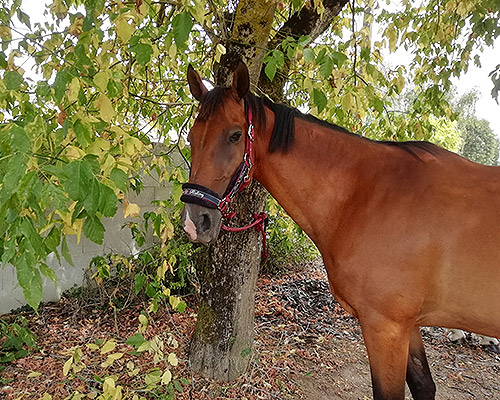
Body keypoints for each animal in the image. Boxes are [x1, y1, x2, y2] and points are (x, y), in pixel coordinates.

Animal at [180, 61, 500, 398]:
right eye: (191, 136)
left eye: (235, 135)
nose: (195, 221)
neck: (365, 195)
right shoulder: (408, 325)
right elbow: (424, 385)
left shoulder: (386, 329)